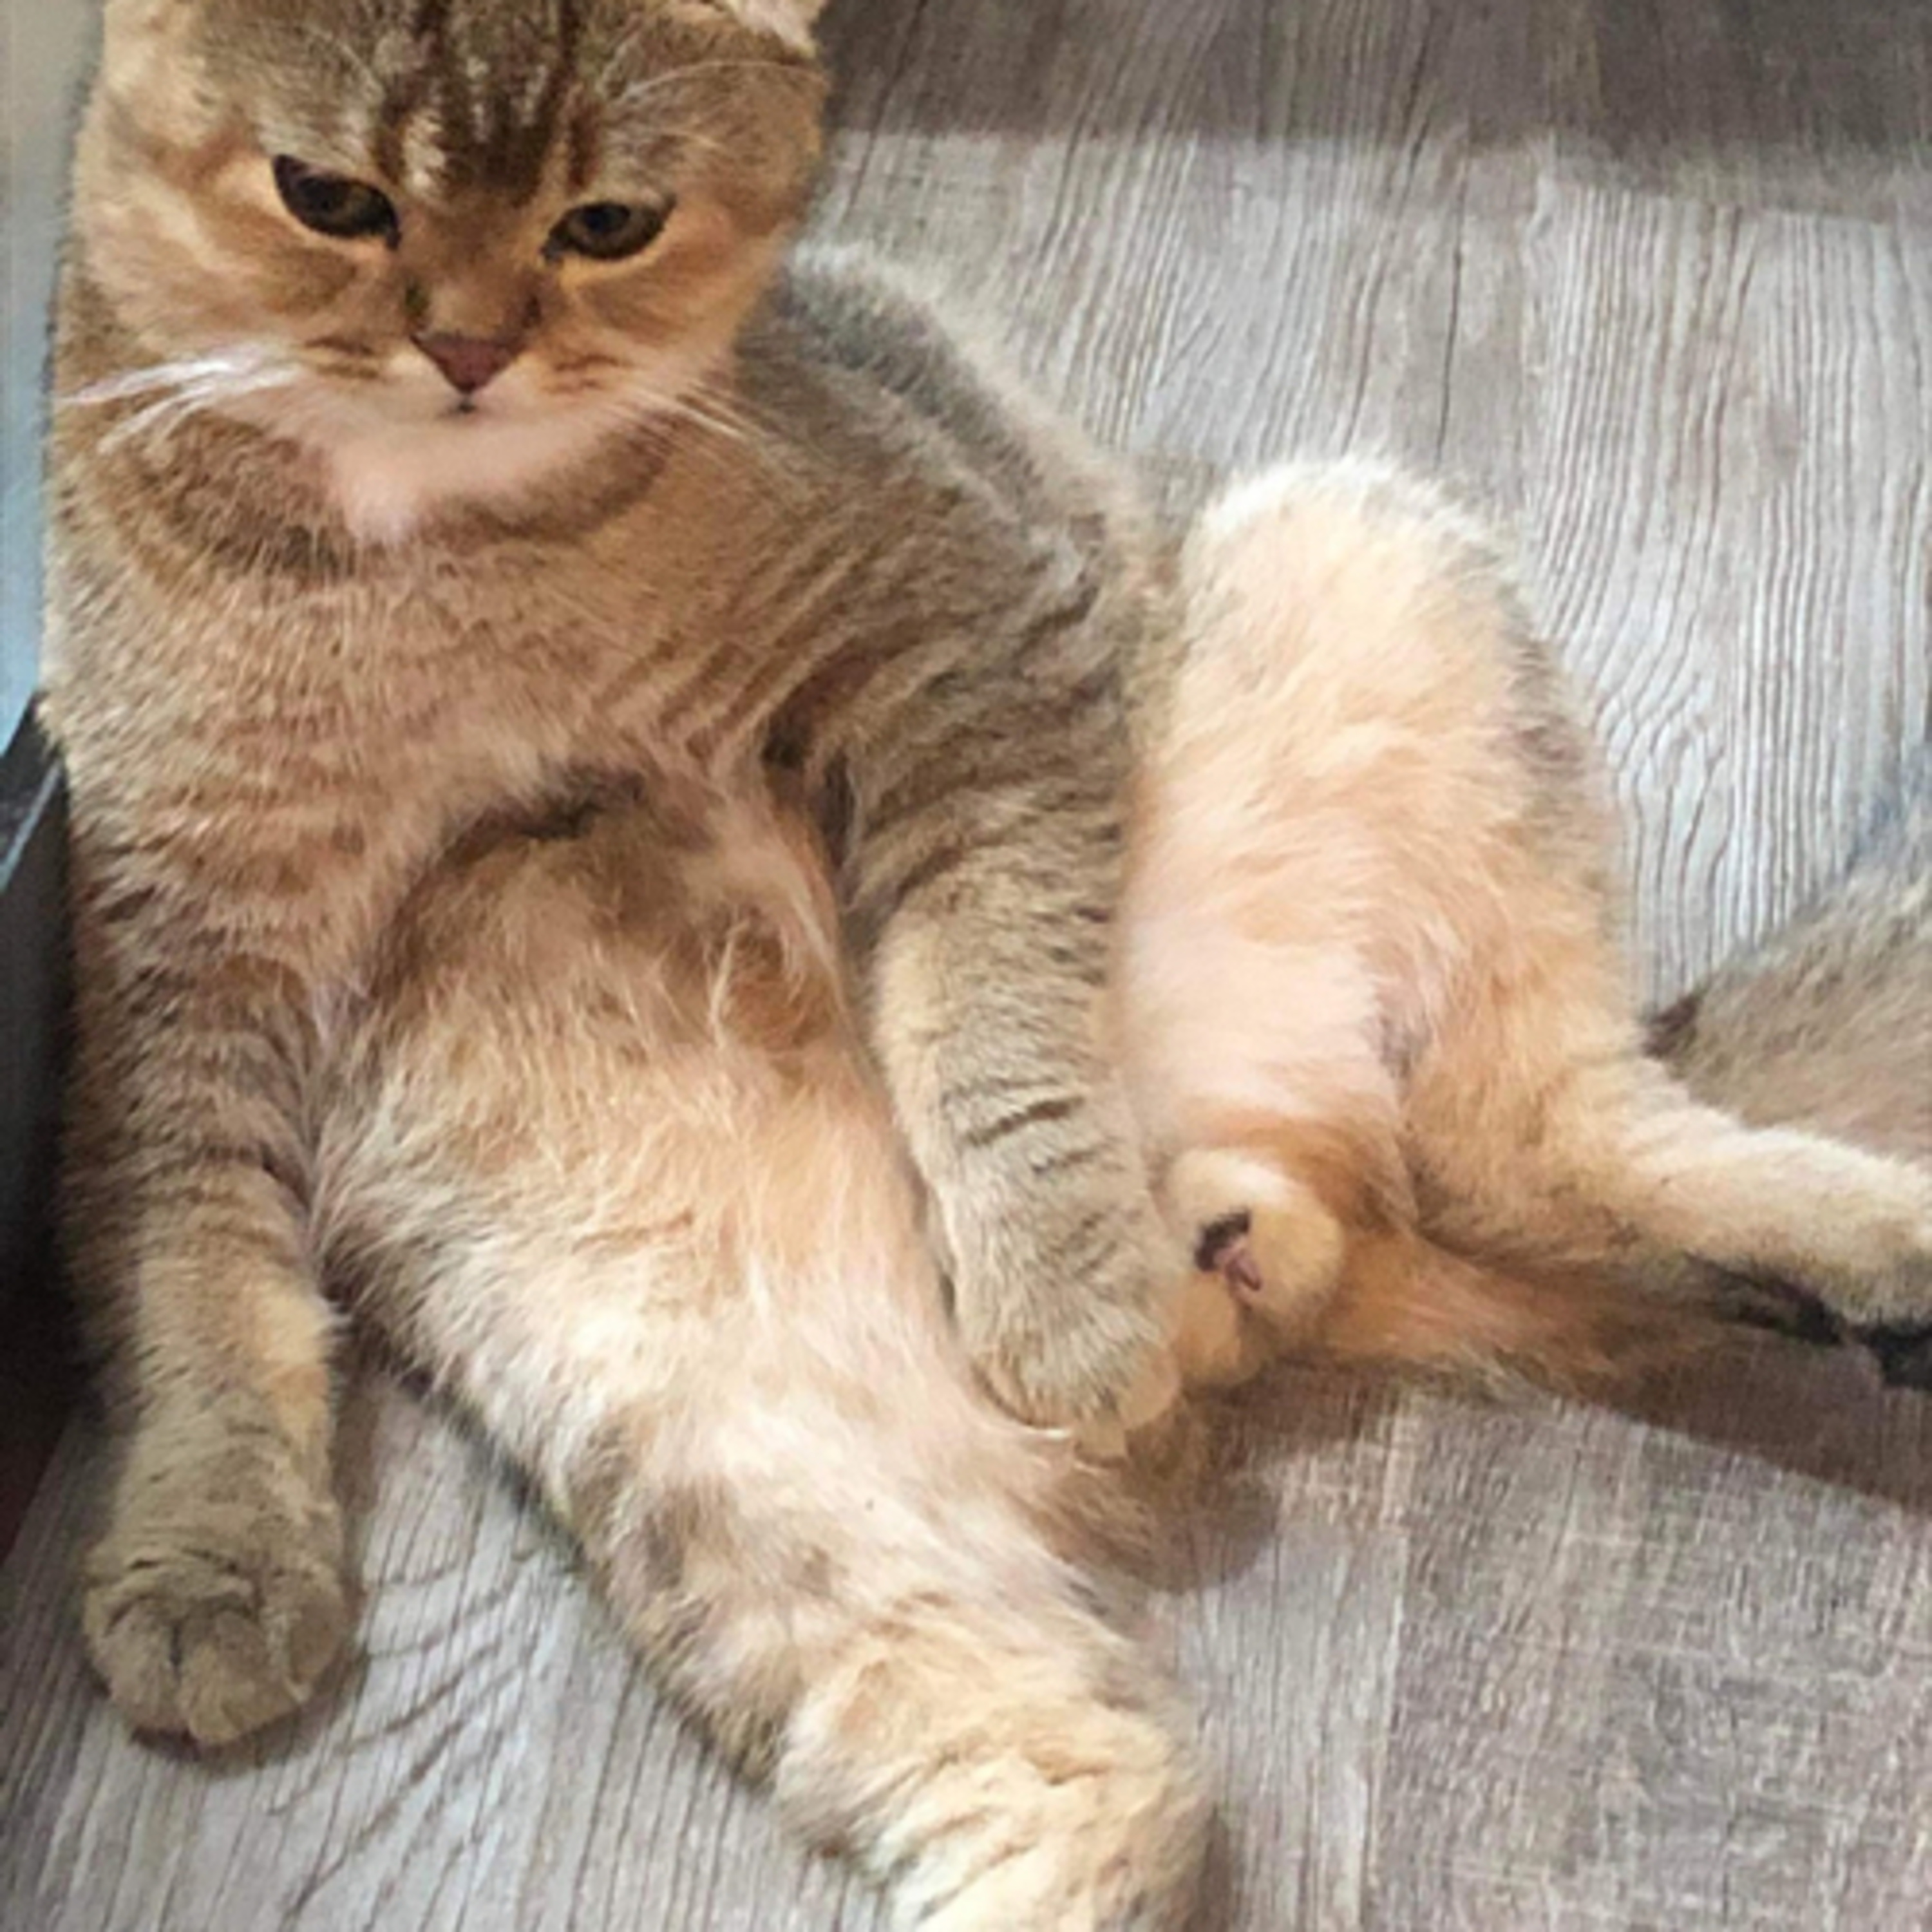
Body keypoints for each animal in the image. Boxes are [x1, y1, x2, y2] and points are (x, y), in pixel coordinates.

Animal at [39, 0, 1932, 1924]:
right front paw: (206, 1547)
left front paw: (1046, 1260)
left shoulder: (972, 633)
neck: (424, 575)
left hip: (1355, 554)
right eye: (331, 199)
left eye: (609, 224)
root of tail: (1257, 1178)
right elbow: (195, 1275)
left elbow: (981, 997)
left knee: (1537, 1139)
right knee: (1098, 1775)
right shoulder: (174, 953)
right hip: (715, 1462)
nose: (470, 347)